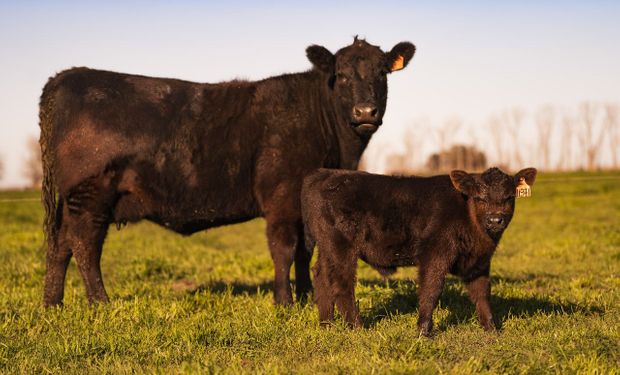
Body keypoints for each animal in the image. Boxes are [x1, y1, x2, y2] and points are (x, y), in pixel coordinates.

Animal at [40, 36, 416, 306]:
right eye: (342, 75)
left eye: (382, 73)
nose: (365, 111)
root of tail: (66, 76)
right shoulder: (281, 199)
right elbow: (283, 248)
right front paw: (284, 302)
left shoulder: (304, 204)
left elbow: (305, 250)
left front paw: (307, 297)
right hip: (91, 193)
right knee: (84, 244)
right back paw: (99, 303)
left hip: (76, 199)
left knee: (60, 244)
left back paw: (52, 304)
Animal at [302, 168, 536, 338]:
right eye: (479, 197)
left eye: (509, 197)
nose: (495, 220)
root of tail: (326, 174)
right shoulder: (435, 253)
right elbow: (432, 289)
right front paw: (423, 330)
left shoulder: (479, 261)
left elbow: (482, 292)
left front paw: (491, 328)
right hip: (341, 246)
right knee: (341, 282)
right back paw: (357, 327)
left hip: (327, 248)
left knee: (321, 275)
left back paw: (327, 324)